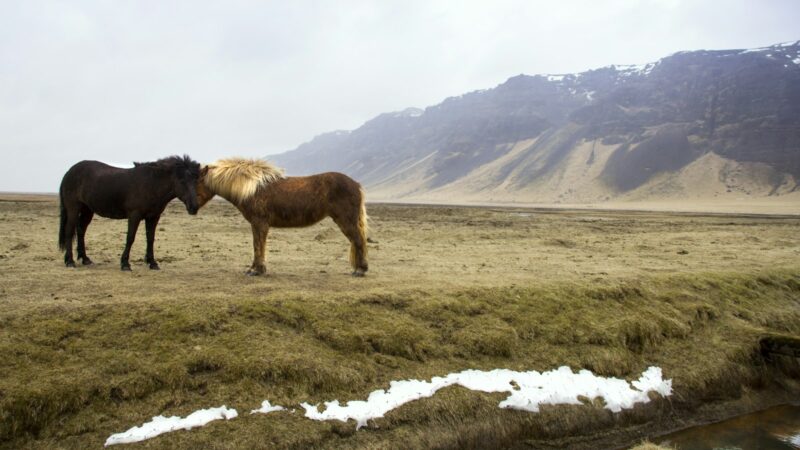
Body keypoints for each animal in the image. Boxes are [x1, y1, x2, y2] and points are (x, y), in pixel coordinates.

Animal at [58, 155, 201, 271]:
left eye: (196, 181)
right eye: (182, 181)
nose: (194, 207)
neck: (151, 184)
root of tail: (69, 172)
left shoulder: (153, 217)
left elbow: (150, 239)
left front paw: (152, 263)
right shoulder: (134, 215)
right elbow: (130, 238)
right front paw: (125, 264)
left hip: (88, 210)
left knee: (81, 230)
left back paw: (85, 259)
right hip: (73, 208)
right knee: (69, 231)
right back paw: (70, 261)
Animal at [196, 158, 369, 277]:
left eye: (198, 183)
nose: (192, 207)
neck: (252, 189)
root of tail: (356, 185)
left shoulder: (259, 223)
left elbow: (258, 245)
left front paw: (257, 270)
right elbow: (257, 246)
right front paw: (254, 269)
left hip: (346, 221)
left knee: (358, 240)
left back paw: (360, 270)